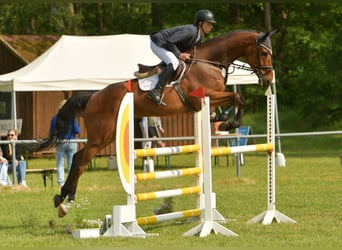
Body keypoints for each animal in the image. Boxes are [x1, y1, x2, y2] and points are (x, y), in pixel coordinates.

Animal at [32, 29, 276, 217]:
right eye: (264, 52)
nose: (269, 80)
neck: (209, 62)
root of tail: (93, 96)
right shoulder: (204, 97)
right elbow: (238, 97)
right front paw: (229, 123)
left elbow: (236, 99)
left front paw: (221, 119)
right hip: (101, 135)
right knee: (80, 161)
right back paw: (64, 201)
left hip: (107, 136)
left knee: (77, 158)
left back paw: (63, 198)